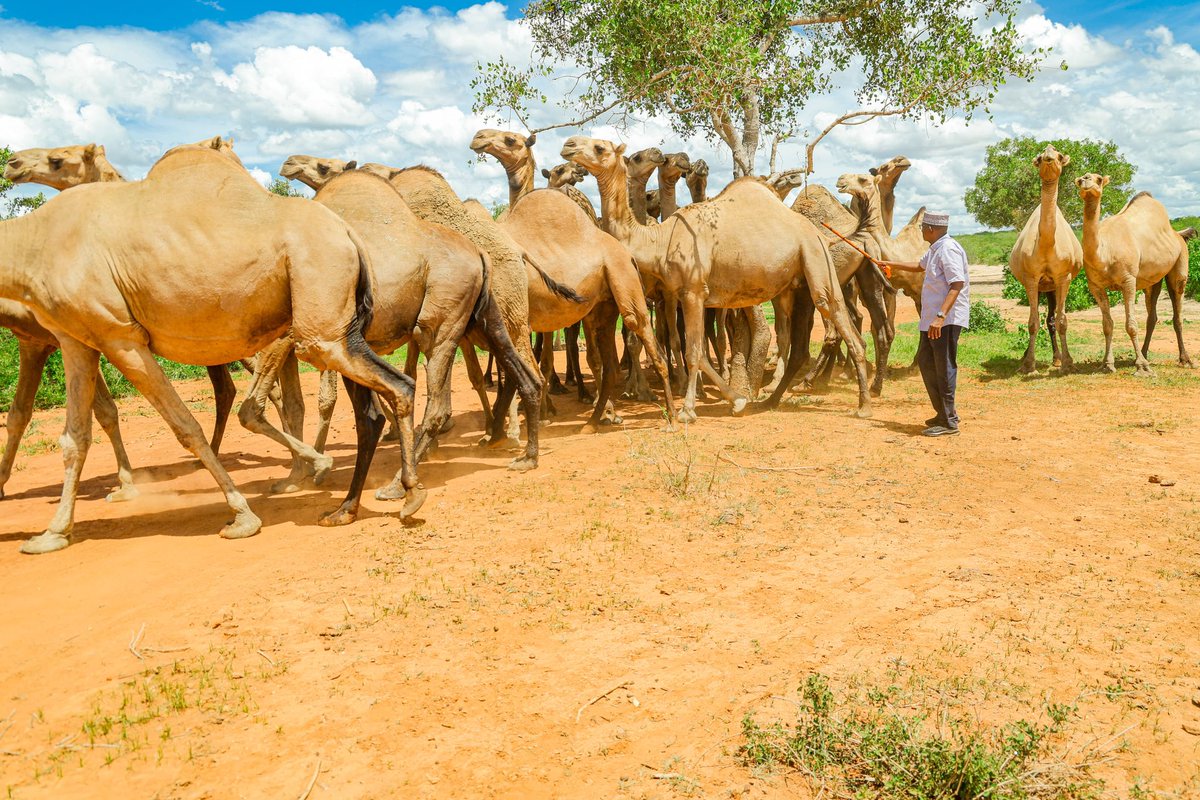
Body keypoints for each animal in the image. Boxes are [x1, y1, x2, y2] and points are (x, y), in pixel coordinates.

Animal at [0, 145, 427, 554]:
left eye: (57, 160)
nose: (13, 163)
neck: (33, 243)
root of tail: (350, 235)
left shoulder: (121, 336)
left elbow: (185, 426)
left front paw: (242, 517)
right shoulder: (76, 339)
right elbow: (74, 438)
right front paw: (52, 534)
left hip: (320, 320)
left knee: (396, 385)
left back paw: (405, 494)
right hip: (338, 325)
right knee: (371, 407)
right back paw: (346, 506)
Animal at [563, 136, 870, 422]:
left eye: (600, 147)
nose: (568, 145)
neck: (660, 239)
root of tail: (820, 234)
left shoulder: (693, 290)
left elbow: (693, 352)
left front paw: (687, 410)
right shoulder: (682, 295)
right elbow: (698, 352)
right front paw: (737, 401)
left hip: (816, 259)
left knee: (839, 317)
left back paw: (863, 404)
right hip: (791, 285)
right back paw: (771, 400)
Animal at [1009, 145, 1084, 373]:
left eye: (1058, 155)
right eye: (1040, 157)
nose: (1050, 158)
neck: (1047, 246)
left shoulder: (1063, 277)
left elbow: (1062, 321)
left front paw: (1068, 363)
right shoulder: (1031, 279)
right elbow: (1032, 322)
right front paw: (1028, 364)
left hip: (1051, 287)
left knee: (1051, 319)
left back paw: (1057, 358)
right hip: (1042, 286)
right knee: (1040, 318)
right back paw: (1026, 356)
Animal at [1074, 175, 1195, 375]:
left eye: (1098, 179)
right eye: (1081, 178)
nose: (1085, 179)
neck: (1105, 252)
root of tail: (1177, 234)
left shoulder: (1128, 281)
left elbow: (1131, 325)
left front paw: (1142, 368)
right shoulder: (1095, 286)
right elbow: (1107, 325)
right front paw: (1107, 364)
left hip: (1180, 264)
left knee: (1177, 313)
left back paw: (1185, 360)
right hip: (1151, 281)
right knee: (1152, 315)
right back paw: (1144, 354)